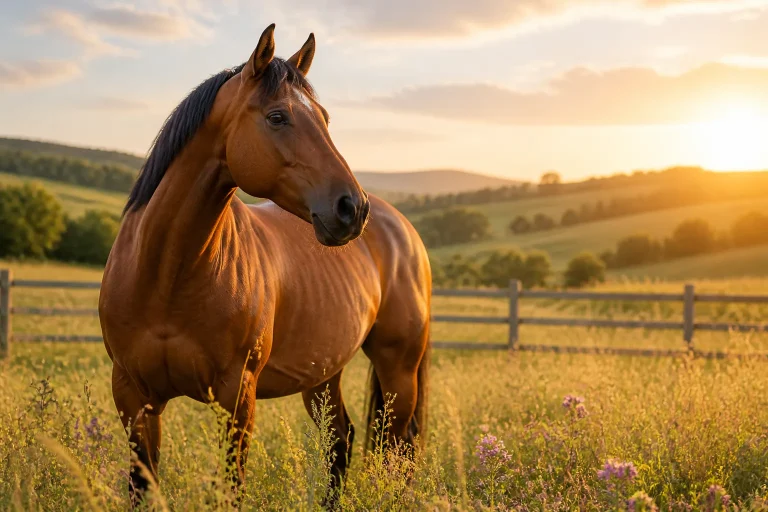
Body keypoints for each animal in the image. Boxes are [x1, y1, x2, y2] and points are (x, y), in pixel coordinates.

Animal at [98, 24, 431, 506]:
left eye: (325, 118)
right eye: (277, 117)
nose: (352, 208)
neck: (166, 274)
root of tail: (402, 229)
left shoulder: (237, 396)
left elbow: (231, 487)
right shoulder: (132, 397)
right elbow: (143, 487)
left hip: (397, 369)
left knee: (396, 450)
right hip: (323, 376)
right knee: (343, 442)